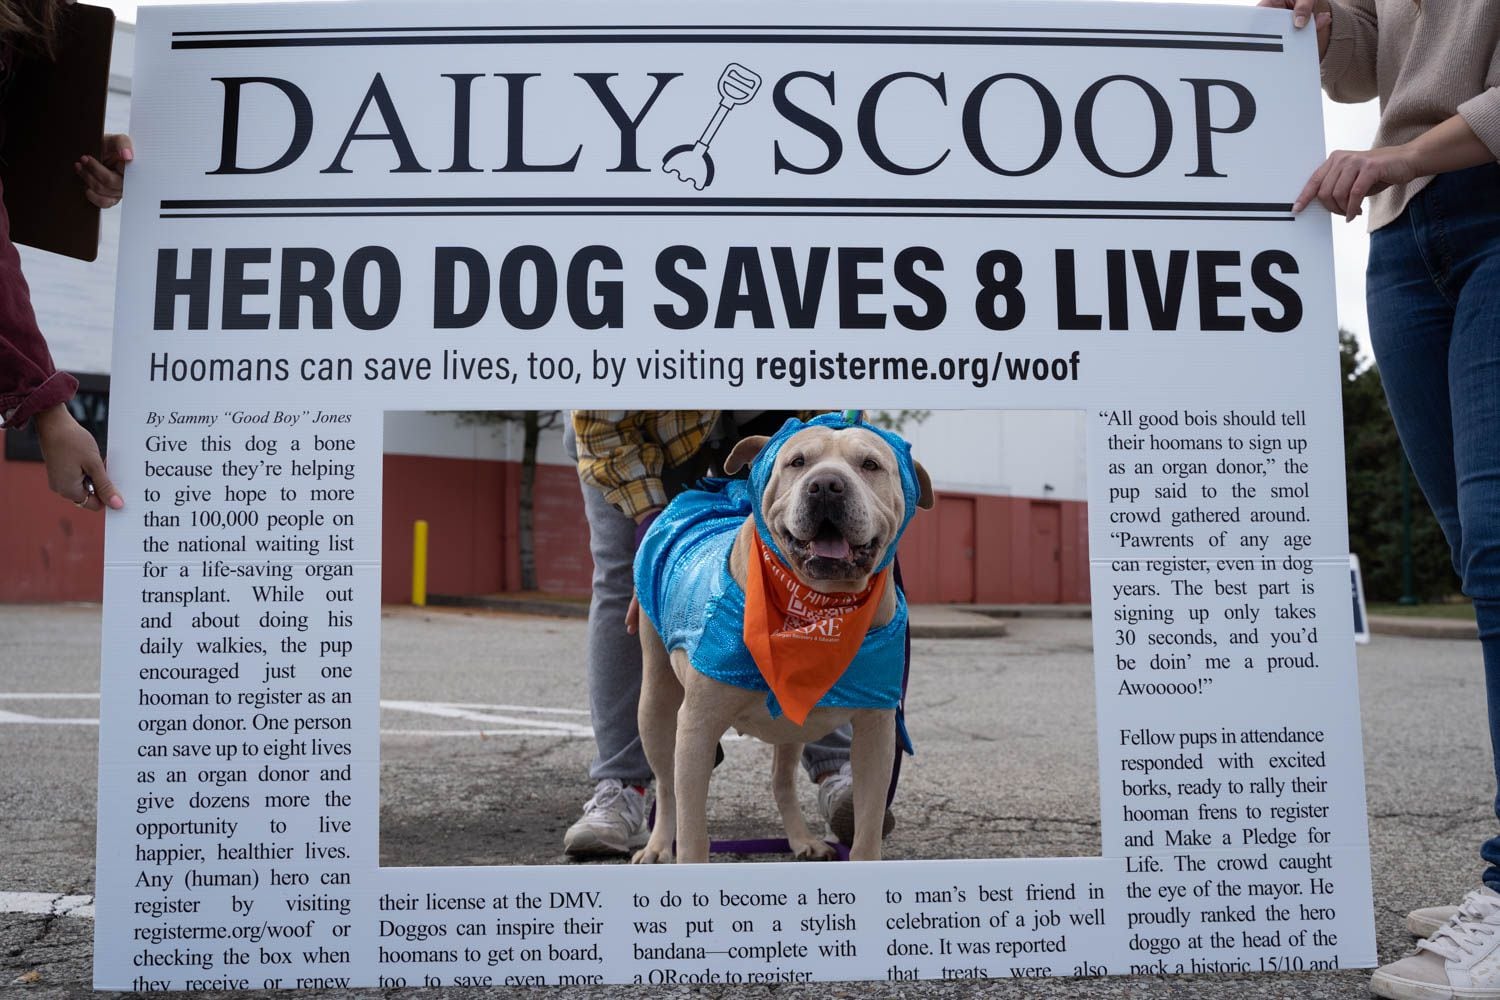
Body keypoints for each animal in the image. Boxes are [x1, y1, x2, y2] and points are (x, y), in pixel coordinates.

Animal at [630, 425, 924, 863]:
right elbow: (694, 831)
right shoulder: (697, 725)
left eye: (870, 464)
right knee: (666, 786)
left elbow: (868, 830)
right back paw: (657, 846)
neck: (817, 609)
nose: (826, 485)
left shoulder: (876, 733)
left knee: (781, 779)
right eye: (797, 462)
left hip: (791, 726)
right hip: (656, 703)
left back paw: (802, 839)